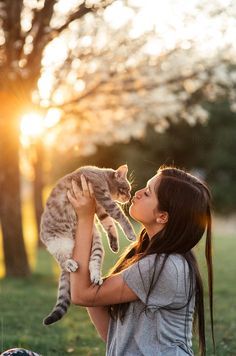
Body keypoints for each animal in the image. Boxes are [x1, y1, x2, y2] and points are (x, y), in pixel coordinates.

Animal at [39, 164, 136, 326]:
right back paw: (70, 264)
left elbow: (109, 223)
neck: (102, 177)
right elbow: (119, 216)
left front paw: (114, 244)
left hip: (95, 241)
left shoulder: (100, 208)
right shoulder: (103, 198)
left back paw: (96, 276)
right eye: (126, 189)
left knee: (94, 261)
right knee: (62, 260)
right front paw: (131, 233)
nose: (130, 197)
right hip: (57, 242)